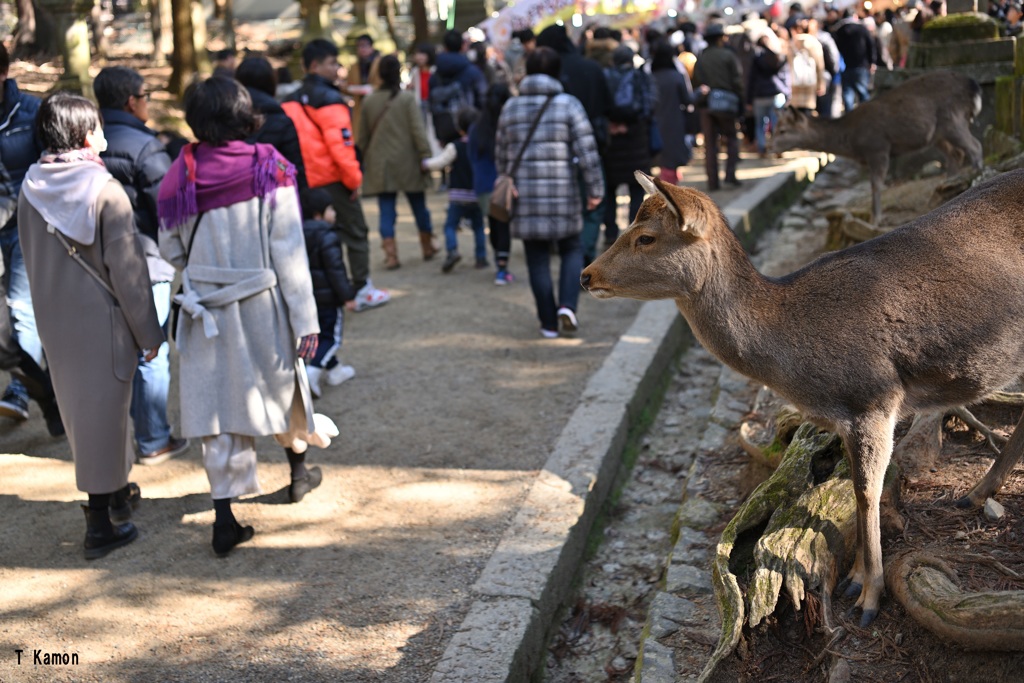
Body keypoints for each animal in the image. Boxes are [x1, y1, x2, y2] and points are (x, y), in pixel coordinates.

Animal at [581, 169, 1024, 626]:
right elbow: (857, 489)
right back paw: (976, 493)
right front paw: (853, 577)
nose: (586, 275)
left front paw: (869, 596)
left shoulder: (876, 399)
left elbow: (866, 492)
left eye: (646, 237)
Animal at [774, 70, 983, 223]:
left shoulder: (878, 148)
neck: (852, 141)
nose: (770, 148)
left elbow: (876, 183)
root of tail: (974, 88)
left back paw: (976, 177)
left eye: (782, 130)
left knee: (975, 147)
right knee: (956, 153)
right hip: (937, 133)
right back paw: (950, 184)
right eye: (776, 129)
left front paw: (876, 218)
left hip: (952, 119)